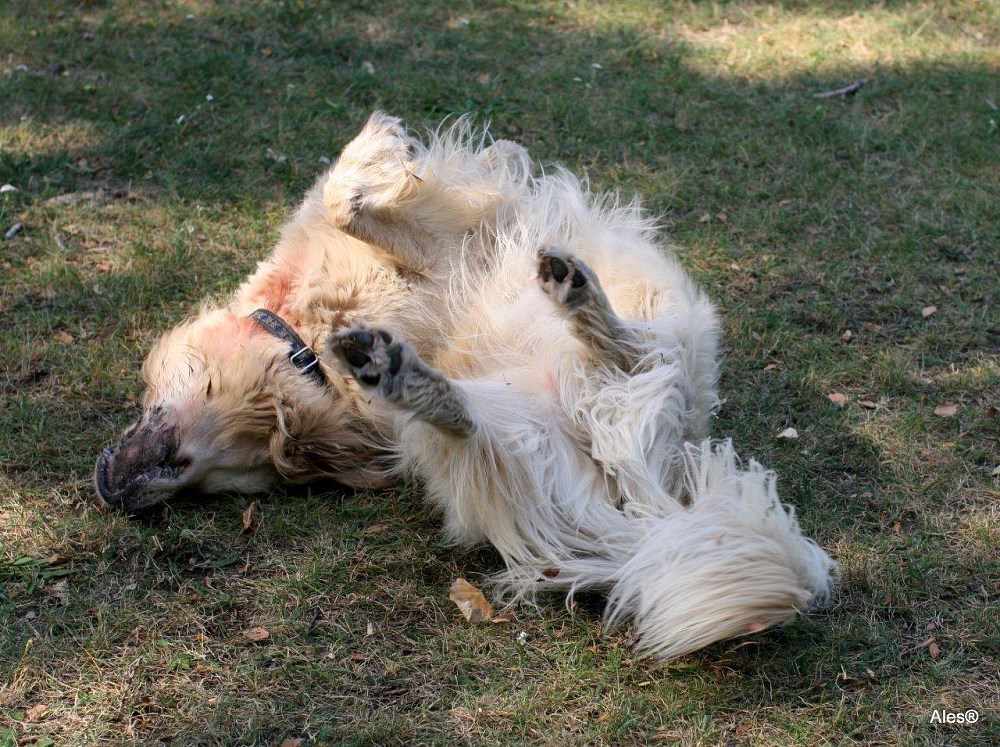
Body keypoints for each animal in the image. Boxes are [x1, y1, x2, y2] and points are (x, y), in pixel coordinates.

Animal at [95, 112, 836, 659]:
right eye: (201, 480)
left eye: (180, 463)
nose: (117, 495)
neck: (304, 342)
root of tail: (647, 496)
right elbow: (350, 200)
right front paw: (382, 150)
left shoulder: (436, 243)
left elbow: (352, 199)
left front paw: (384, 144)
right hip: (505, 434)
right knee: (481, 415)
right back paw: (411, 368)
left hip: (668, 336)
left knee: (631, 351)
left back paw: (564, 295)